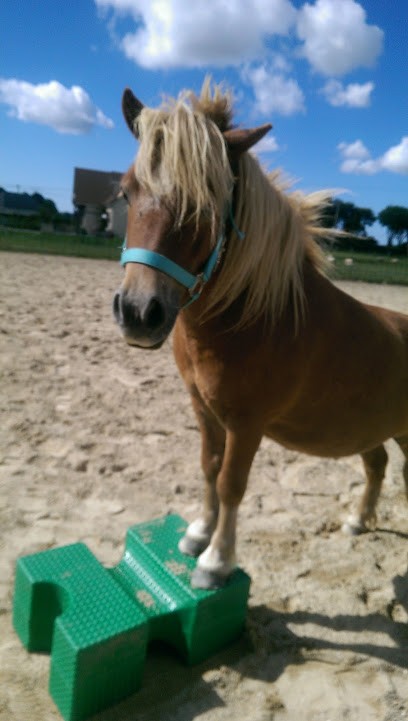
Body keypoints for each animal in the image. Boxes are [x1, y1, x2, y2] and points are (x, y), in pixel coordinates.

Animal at [113, 80, 408, 590]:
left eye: (206, 201)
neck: (253, 317)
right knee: (376, 465)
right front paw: (197, 534)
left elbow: (232, 483)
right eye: (127, 192)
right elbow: (209, 469)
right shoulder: (204, 409)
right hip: (373, 426)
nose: (137, 312)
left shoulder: (247, 423)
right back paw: (357, 520)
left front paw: (215, 561)